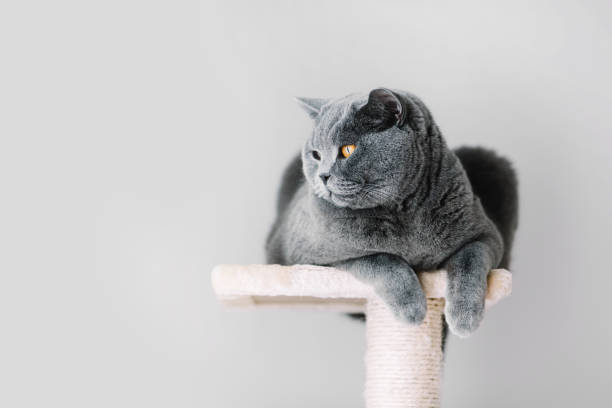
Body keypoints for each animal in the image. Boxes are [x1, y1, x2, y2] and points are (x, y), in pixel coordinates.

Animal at [266, 90, 520, 338]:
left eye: (348, 150)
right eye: (316, 155)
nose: (323, 175)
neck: (403, 209)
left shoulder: (486, 235)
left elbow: (470, 261)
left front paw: (465, 318)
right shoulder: (310, 257)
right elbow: (382, 260)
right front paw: (413, 310)